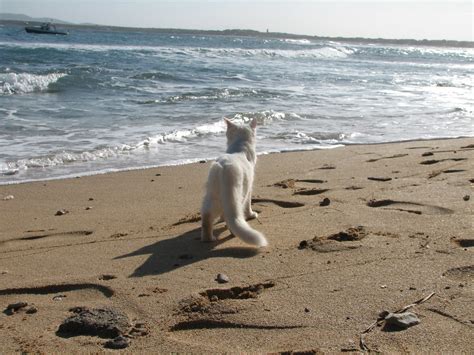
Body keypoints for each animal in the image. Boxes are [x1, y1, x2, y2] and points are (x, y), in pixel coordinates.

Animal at [199, 118, 266, 246]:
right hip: (238, 195)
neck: (239, 145)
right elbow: (248, 206)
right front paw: (251, 215)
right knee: (233, 217)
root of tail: (222, 167)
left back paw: (208, 238)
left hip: (212, 197)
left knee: (207, 217)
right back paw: (232, 233)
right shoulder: (249, 189)